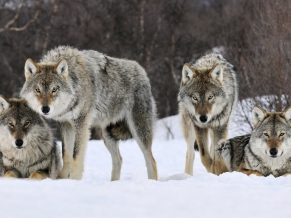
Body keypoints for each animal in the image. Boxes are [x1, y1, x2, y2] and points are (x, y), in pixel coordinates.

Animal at [20, 45, 159, 181]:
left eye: (54, 89)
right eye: (37, 90)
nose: (45, 109)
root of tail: (142, 71)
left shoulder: (81, 123)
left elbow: (76, 155)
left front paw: (74, 180)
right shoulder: (66, 124)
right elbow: (66, 155)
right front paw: (62, 179)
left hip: (138, 131)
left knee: (151, 161)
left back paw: (151, 182)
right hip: (107, 135)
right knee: (119, 160)